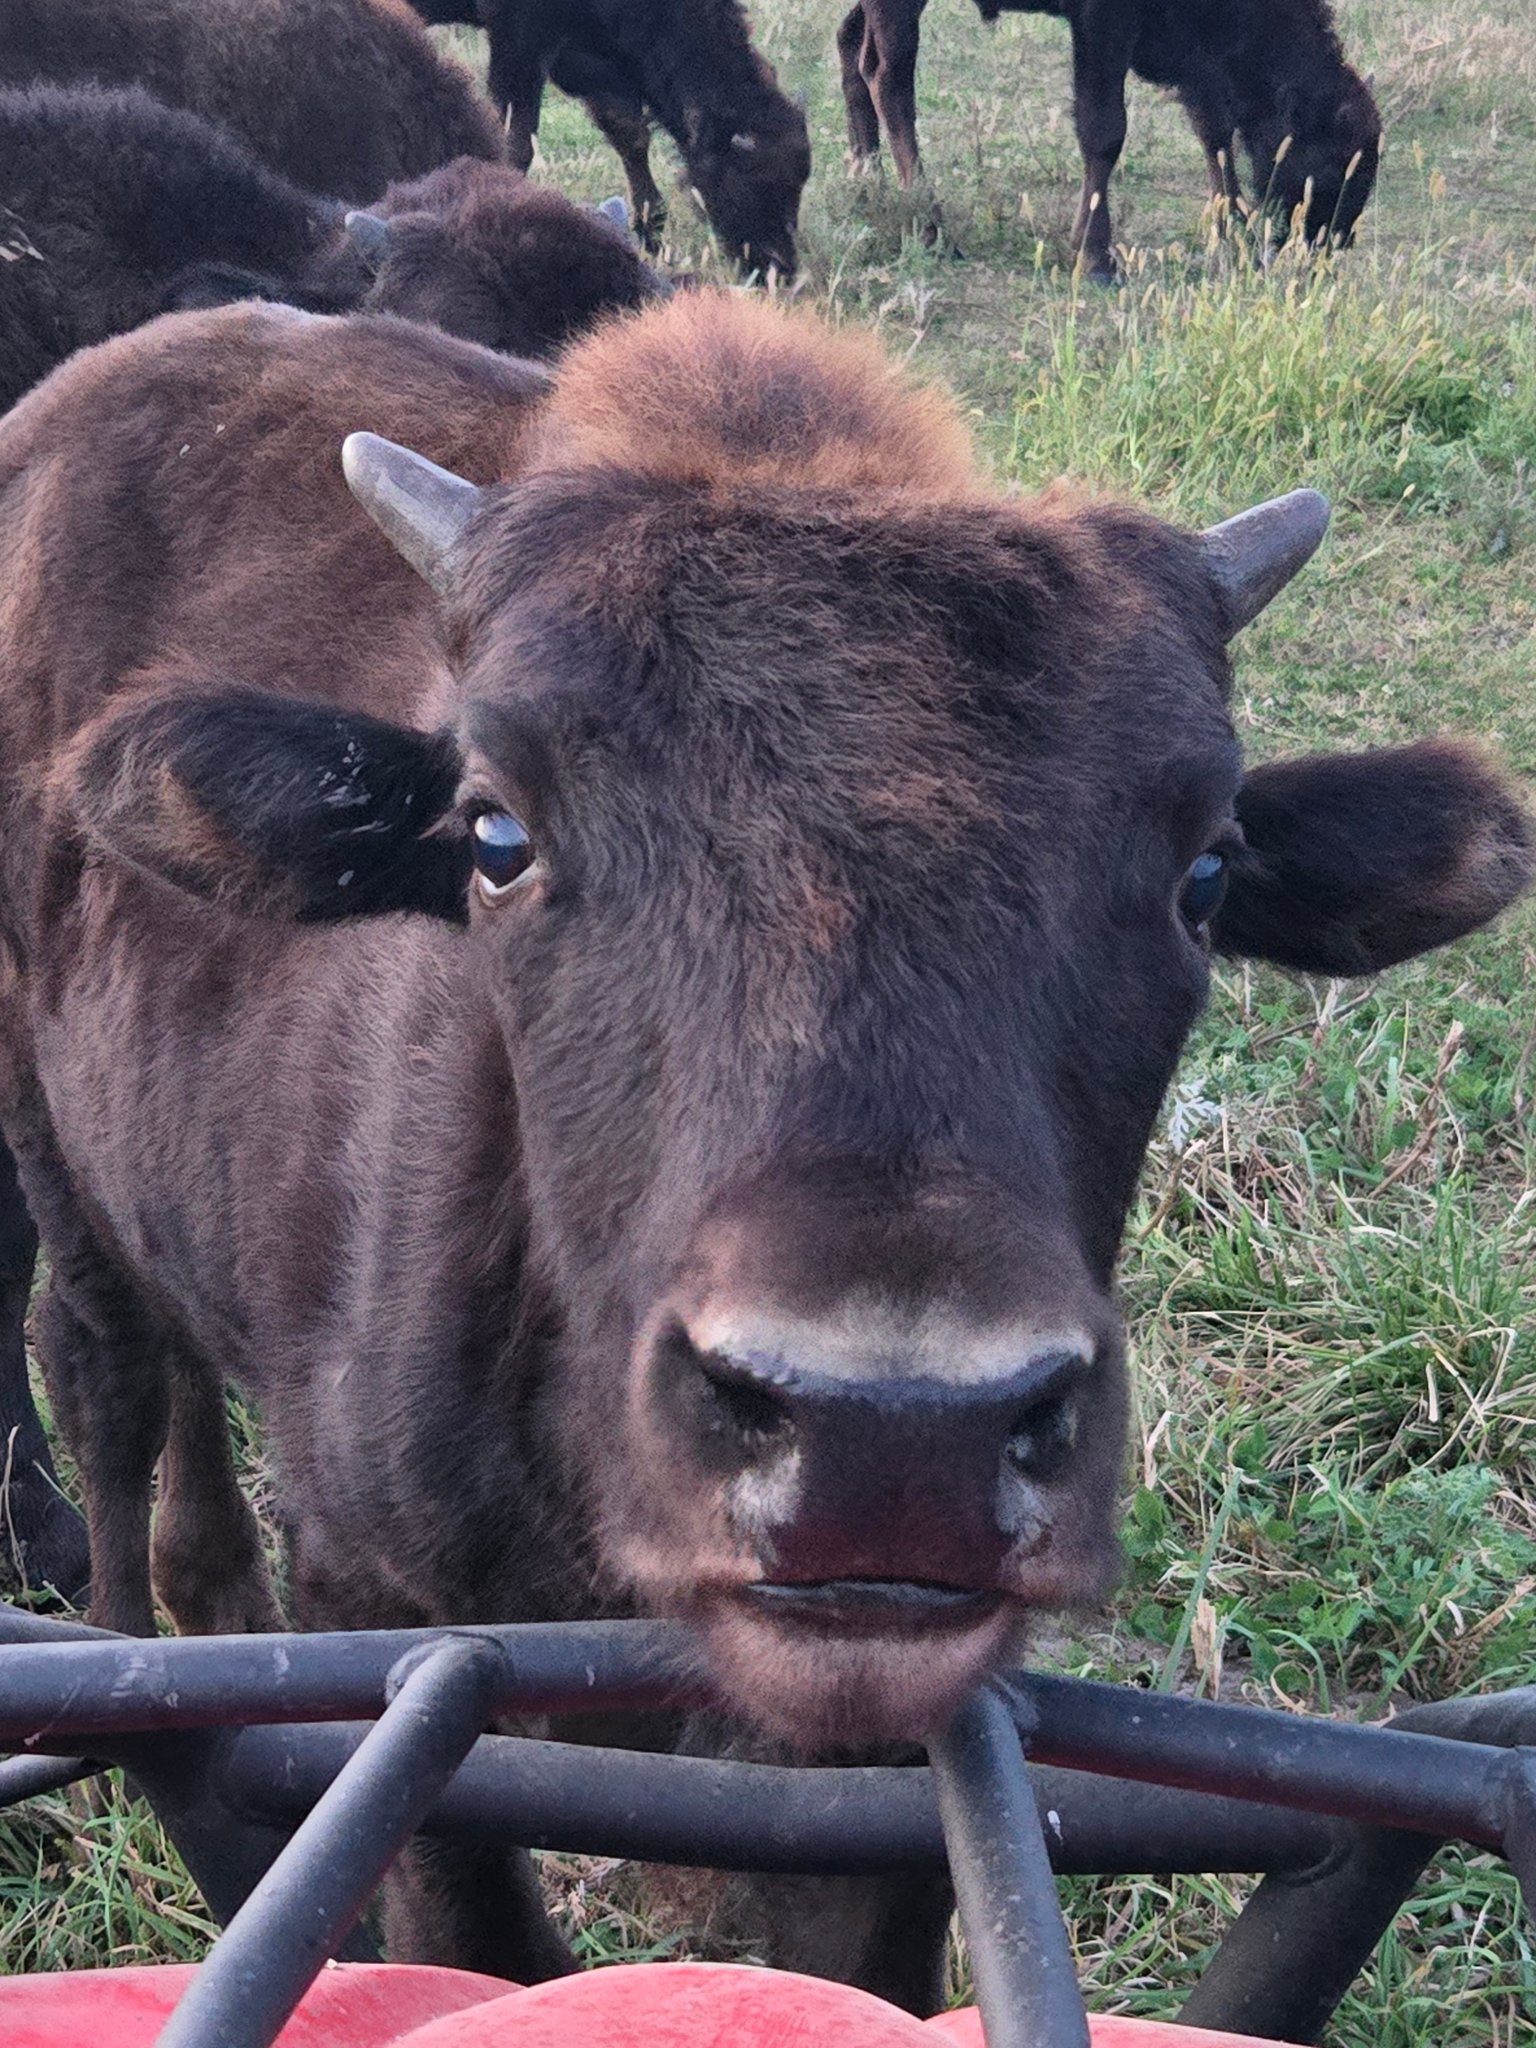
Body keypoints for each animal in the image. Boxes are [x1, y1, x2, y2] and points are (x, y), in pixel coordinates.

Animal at [0, 291, 1524, 1994]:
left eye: (1204, 871)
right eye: (496, 832)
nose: (889, 1438)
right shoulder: (385, 1606)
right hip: (45, 1134)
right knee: (109, 1370)